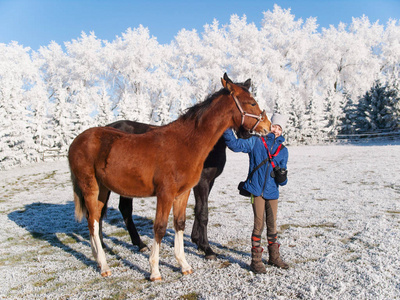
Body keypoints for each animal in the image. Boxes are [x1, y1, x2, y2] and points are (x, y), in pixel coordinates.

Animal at [68, 74, 272, 280]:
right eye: (252, 103)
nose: (268, 126)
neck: (185, 142)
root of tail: (77, 140)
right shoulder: (166, 193)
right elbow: (160, 227)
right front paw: (155, 271)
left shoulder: (183, 193)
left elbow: (180, 223)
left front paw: (184, 264)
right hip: (90, 187)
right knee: (93, 221)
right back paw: (104, 265)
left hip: (103, 189)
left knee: (96, 218)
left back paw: (101, 256)